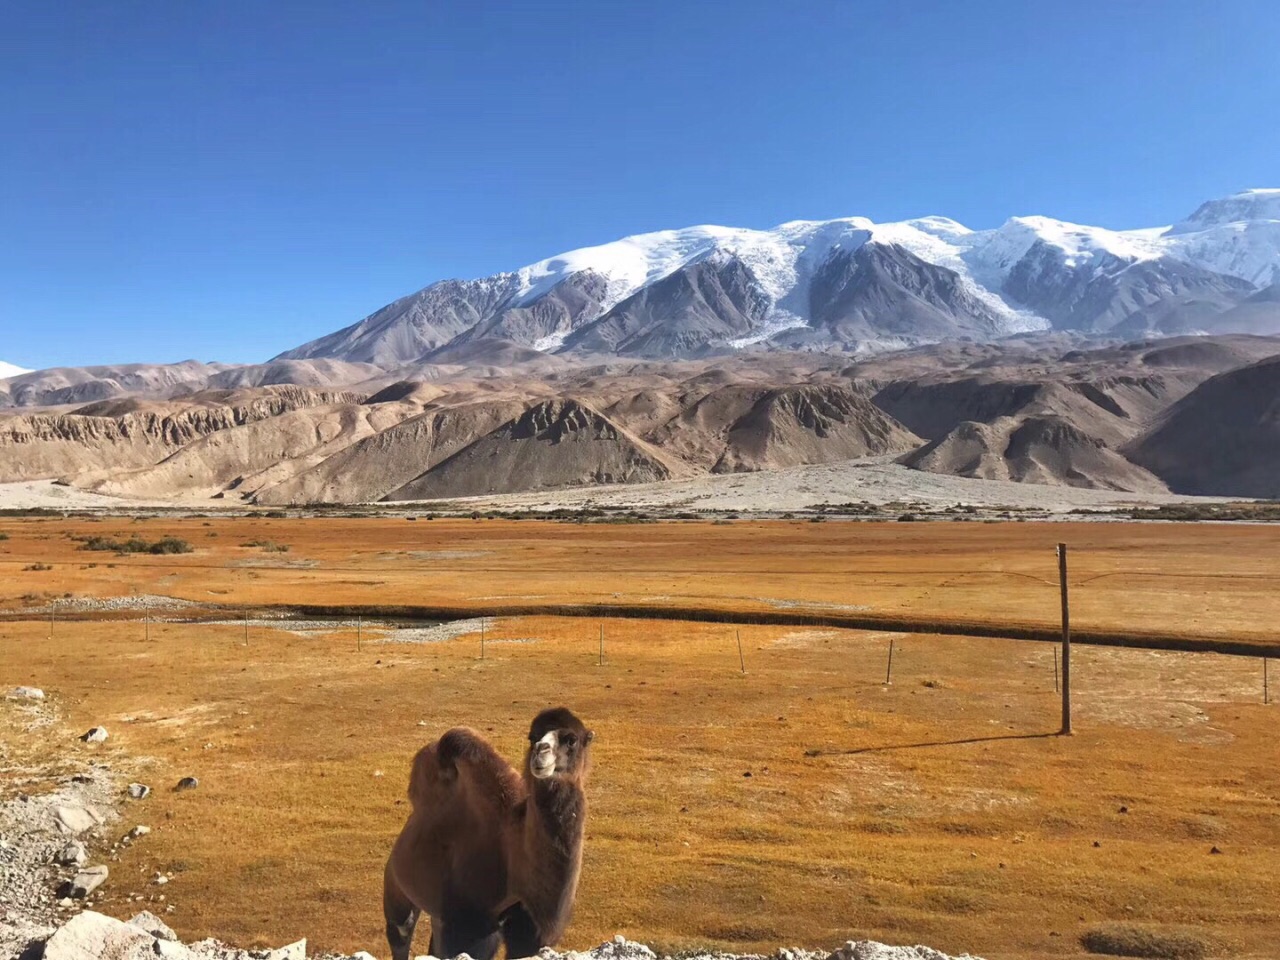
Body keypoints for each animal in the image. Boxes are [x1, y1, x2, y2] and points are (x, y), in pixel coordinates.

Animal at [378, 706, 593, 960]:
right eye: (532, 737)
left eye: (572, 740)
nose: (541, 752)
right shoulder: (468, 925)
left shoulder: (528, 931)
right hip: (396, 885)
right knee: (401, 931)